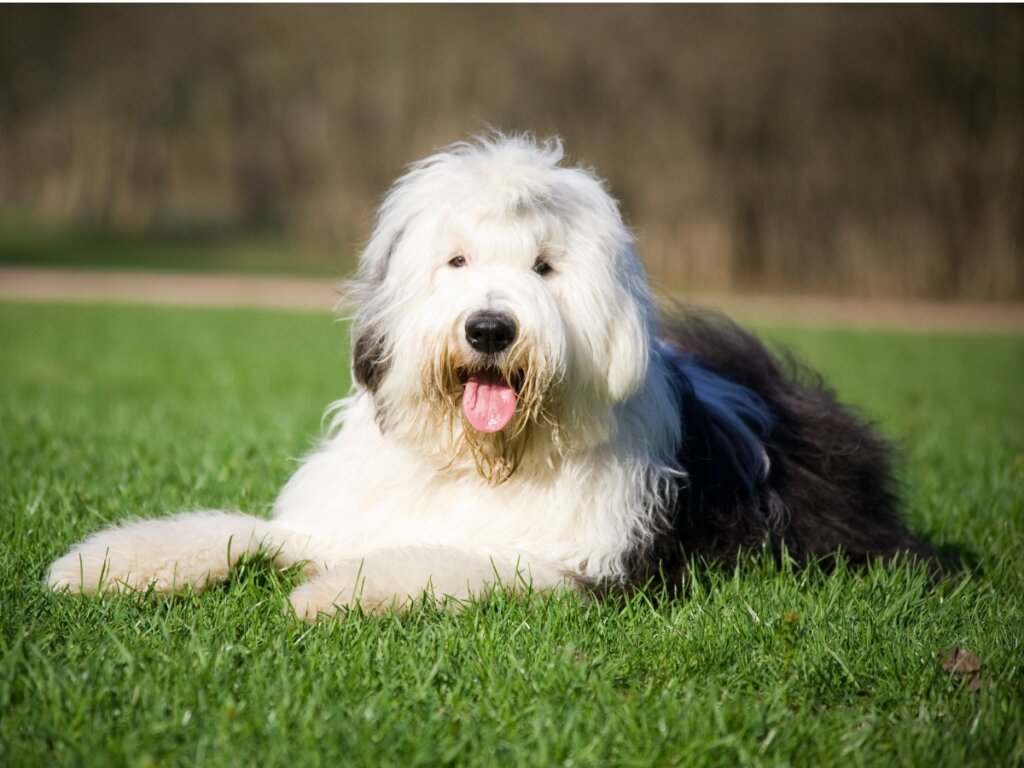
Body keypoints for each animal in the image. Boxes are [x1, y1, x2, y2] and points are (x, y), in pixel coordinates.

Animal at [44, 137, 933, 618]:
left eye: (544, 267)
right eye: (457, 261)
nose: (490, 329)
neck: (484, 460)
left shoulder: (589, 564)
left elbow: (456, 561)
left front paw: (332, 594)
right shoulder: (345, 514)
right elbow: (240, 530)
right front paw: (106, 565)